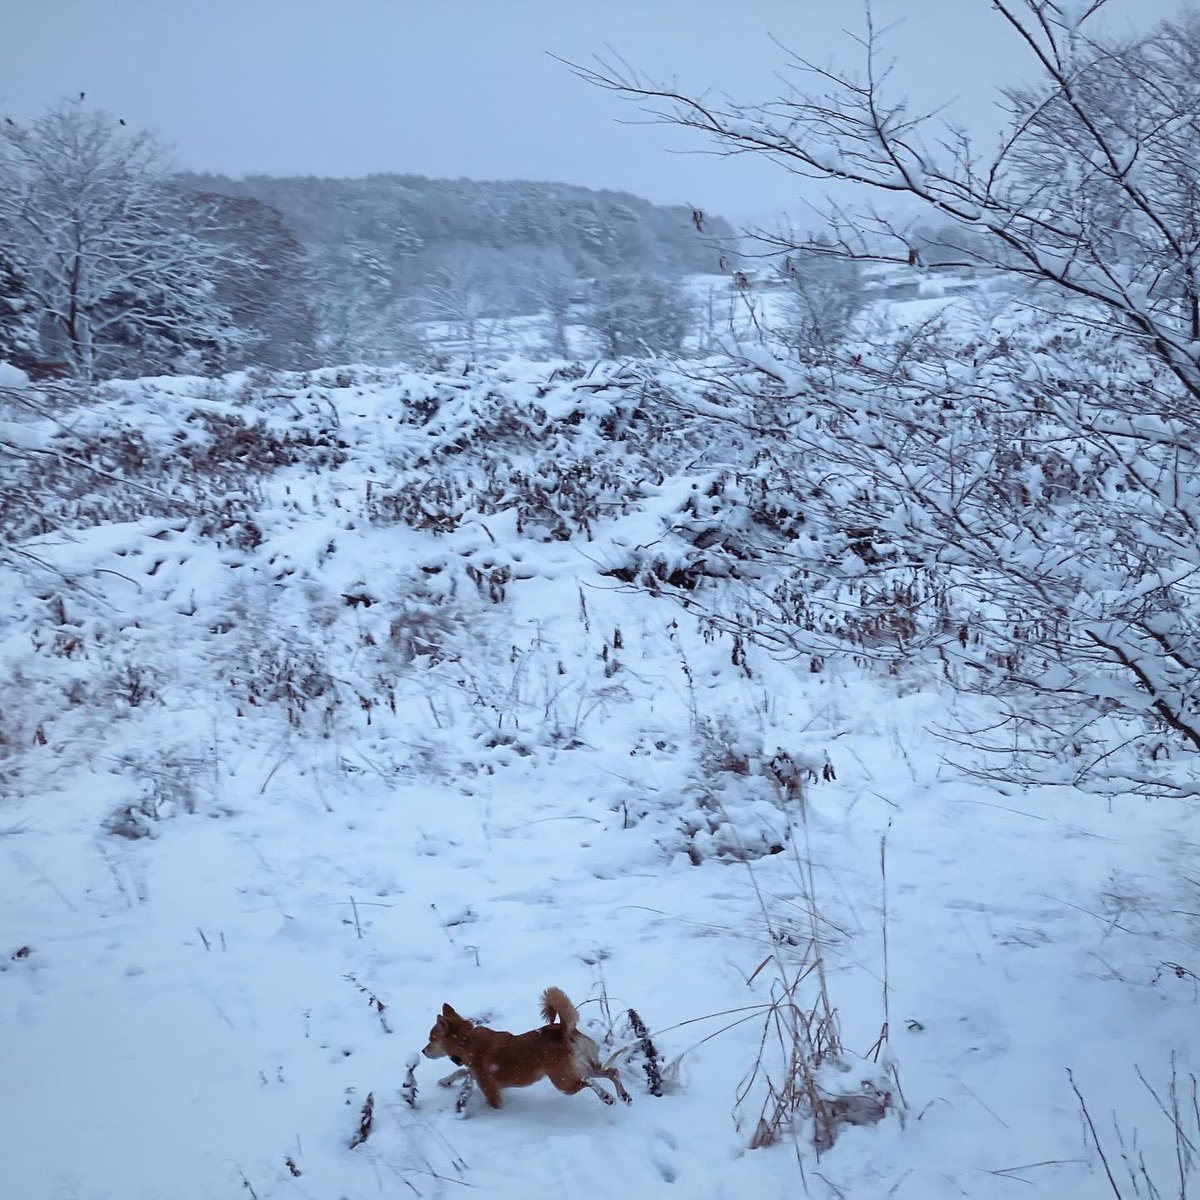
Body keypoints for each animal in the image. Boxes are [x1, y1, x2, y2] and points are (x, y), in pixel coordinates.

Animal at [422, 988, 633, 1108]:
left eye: (431, 1038)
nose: (423, 1051)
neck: (467, 1041)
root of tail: (563, 1031)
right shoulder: (474, 1072)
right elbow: (461, 1072)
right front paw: (445, 1081)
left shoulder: (488, 1086)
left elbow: (481, 1088)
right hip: (586, 1066)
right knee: (611, 1072)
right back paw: (623, 1095)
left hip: (564, 1081)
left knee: (588, 1081)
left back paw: (606, 1096)